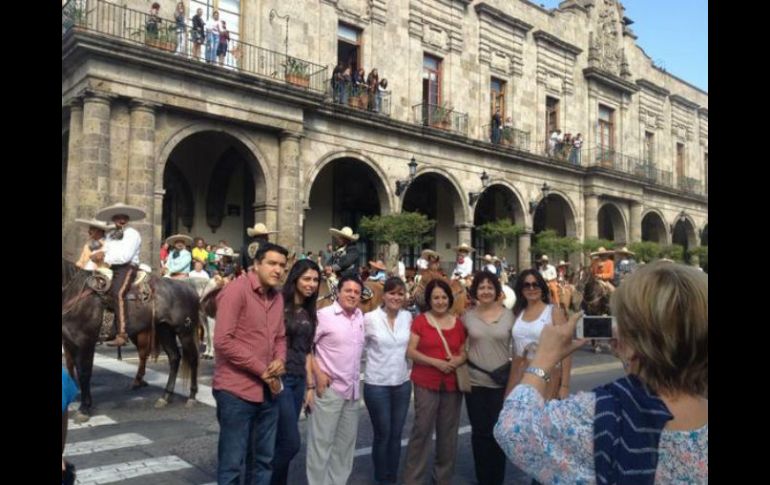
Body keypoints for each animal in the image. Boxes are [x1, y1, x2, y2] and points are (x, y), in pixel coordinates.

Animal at [61, 260, 201, 422]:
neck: (74, 293)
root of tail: (189, 288)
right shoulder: (70, 343)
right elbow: (73, 369)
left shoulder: (85, 342)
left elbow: (84, 373)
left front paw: (84, 408)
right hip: (164, 330)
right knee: (174, 357)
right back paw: (165, 397)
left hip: (185, 332)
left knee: (192, 359)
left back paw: (191, 397)